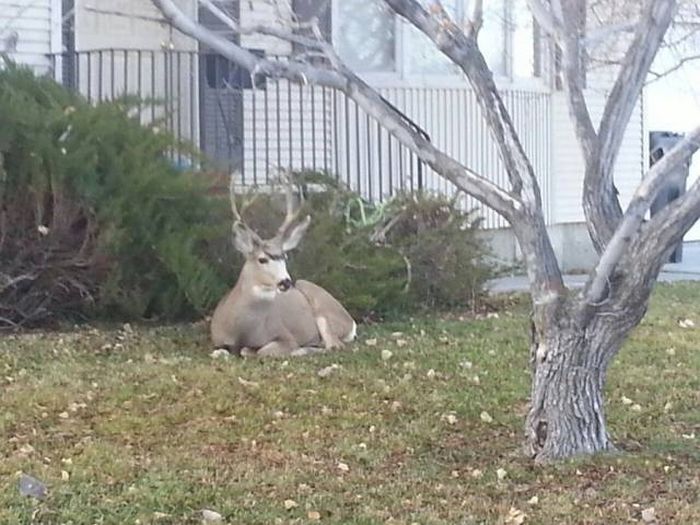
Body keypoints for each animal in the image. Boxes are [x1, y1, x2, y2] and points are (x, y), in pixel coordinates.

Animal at [209, 174, 358, 358]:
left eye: (284, 256)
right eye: (262, 259)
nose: (286, 282)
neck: (242, 331)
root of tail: (351, 321)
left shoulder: (285, 335)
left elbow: (261, 351)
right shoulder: (217, 340)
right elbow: (221, 352)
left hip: (324, 313)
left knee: (334, 344)